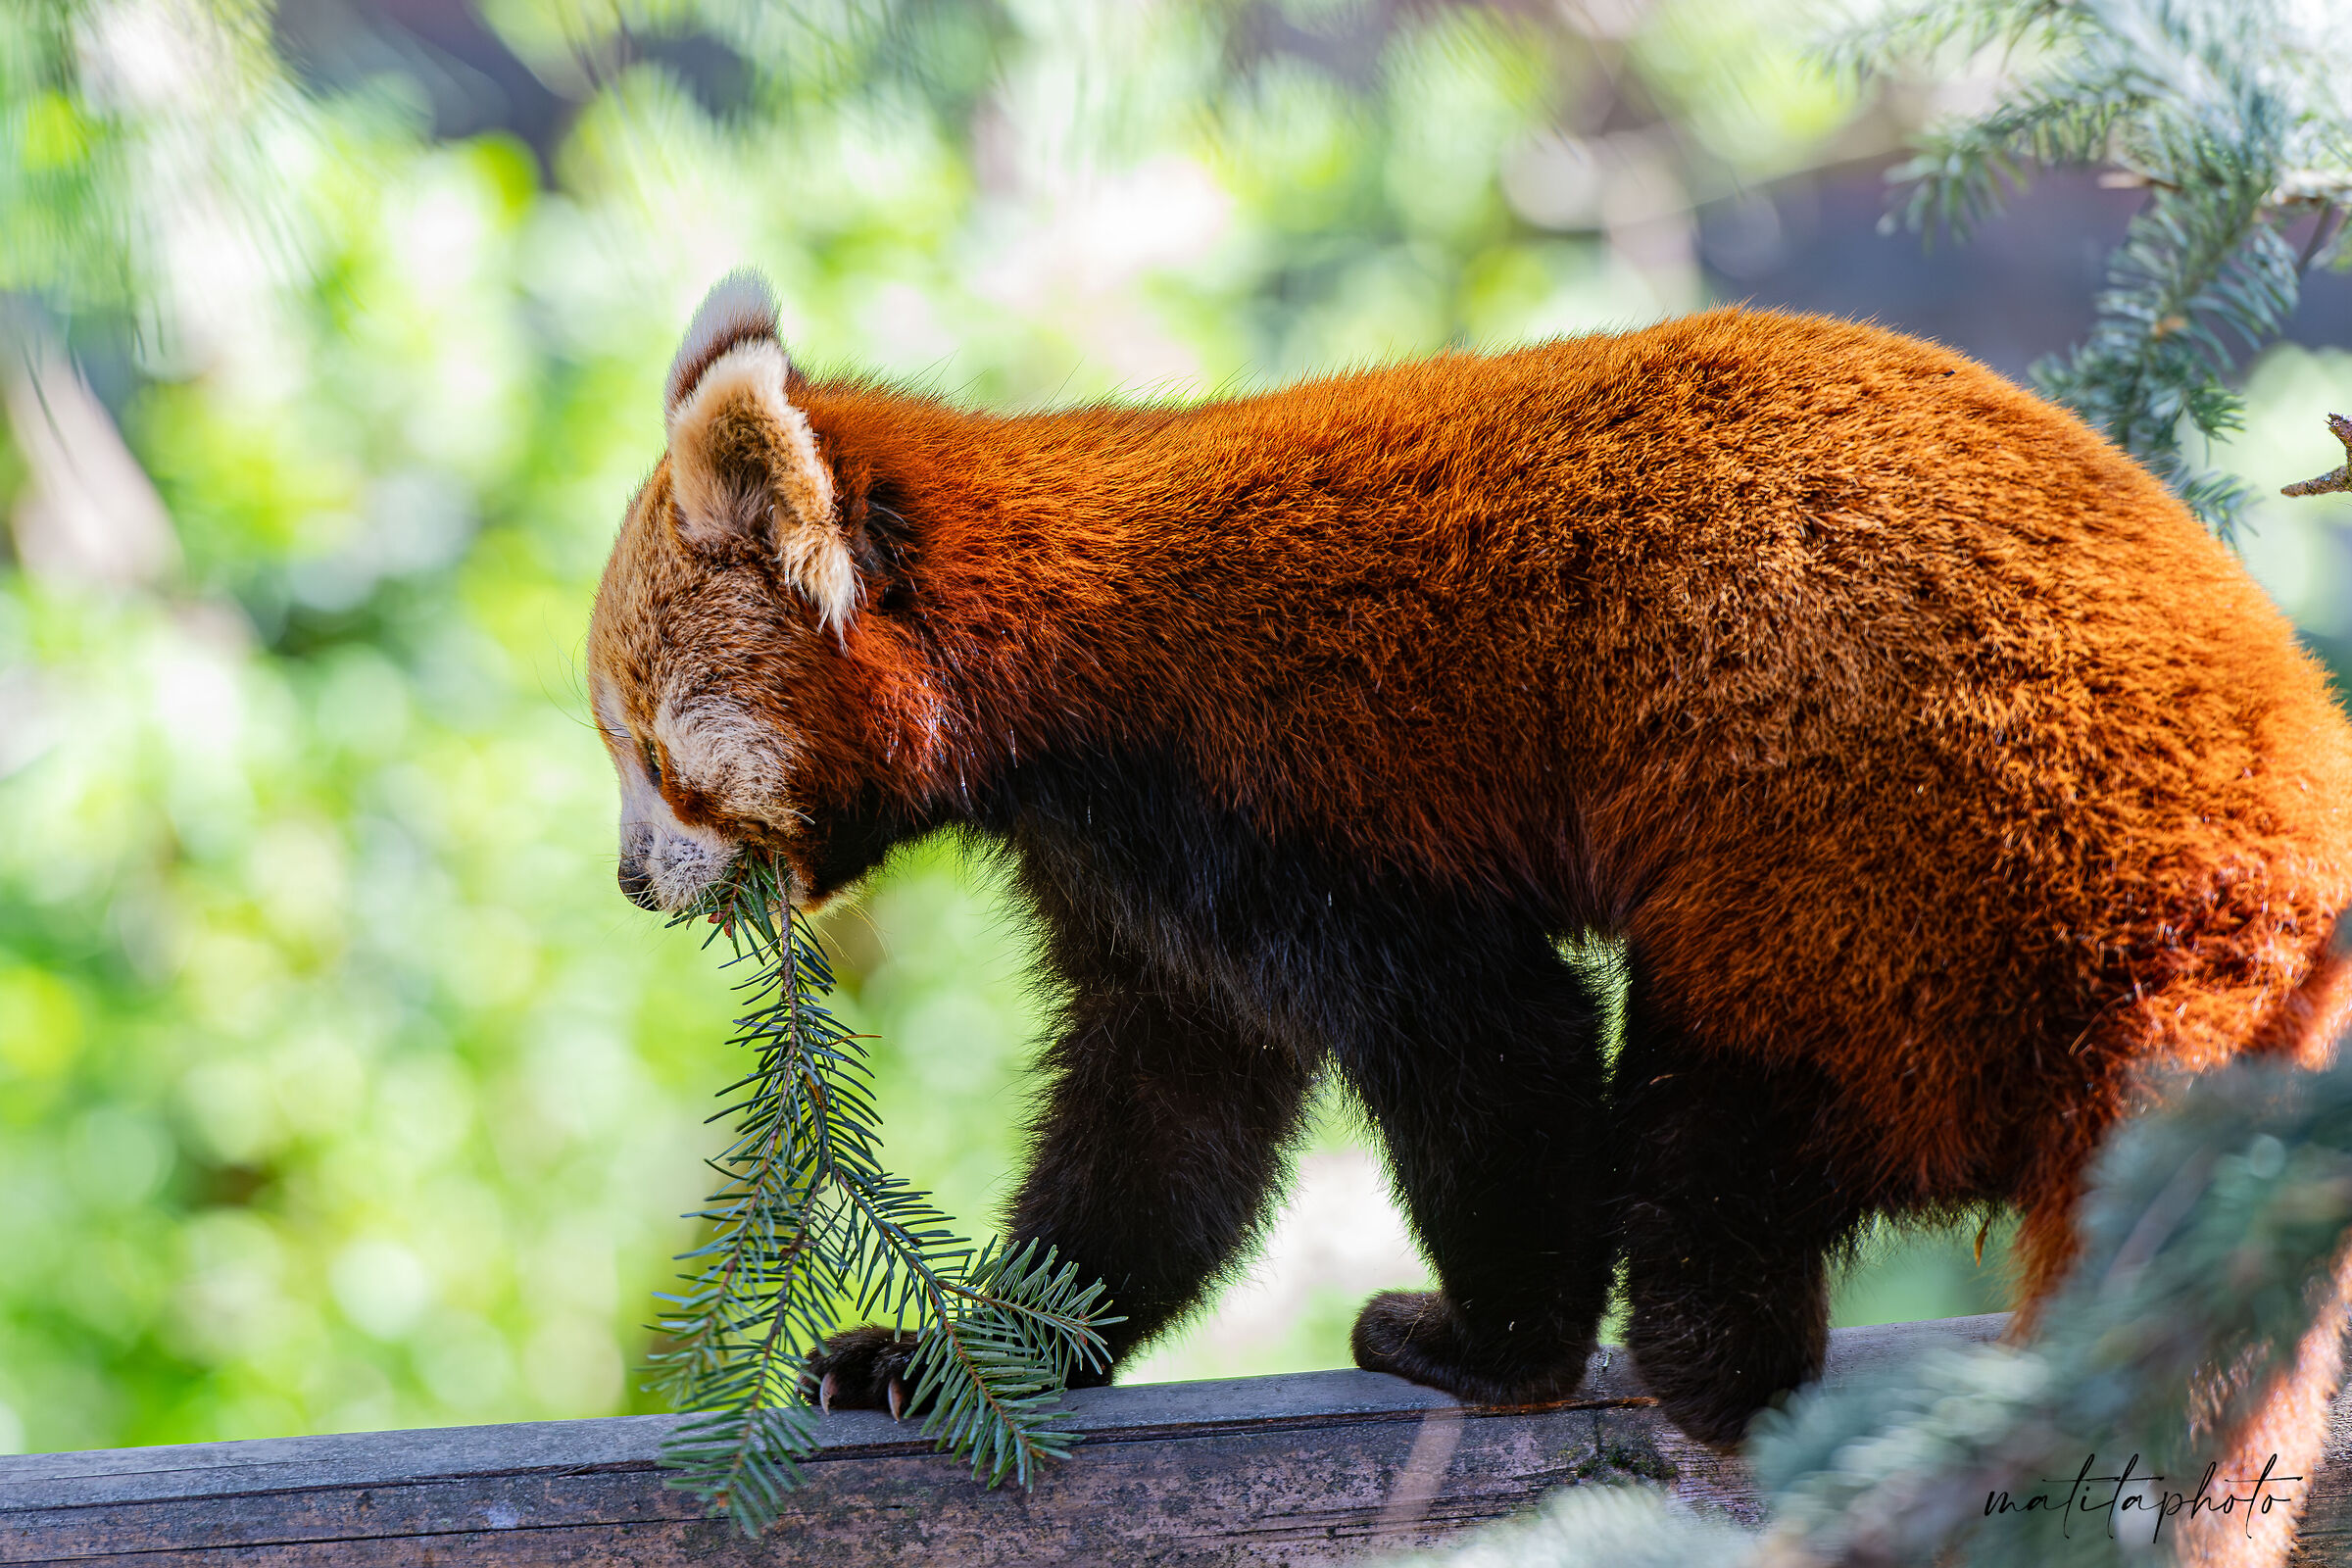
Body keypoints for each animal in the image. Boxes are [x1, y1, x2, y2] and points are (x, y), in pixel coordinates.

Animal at [587, 271, 2352, 1558]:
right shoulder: (1139, 886)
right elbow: (1164, 1133)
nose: (628, 882)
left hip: (1868, 874)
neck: (1048, 673)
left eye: (653, 756)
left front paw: (1499, 1349)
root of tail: (2253, 872)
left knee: (1707, 1131)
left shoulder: (1277, 791)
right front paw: (967, 1353)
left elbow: (1488, 1042)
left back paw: (1712, 1367)